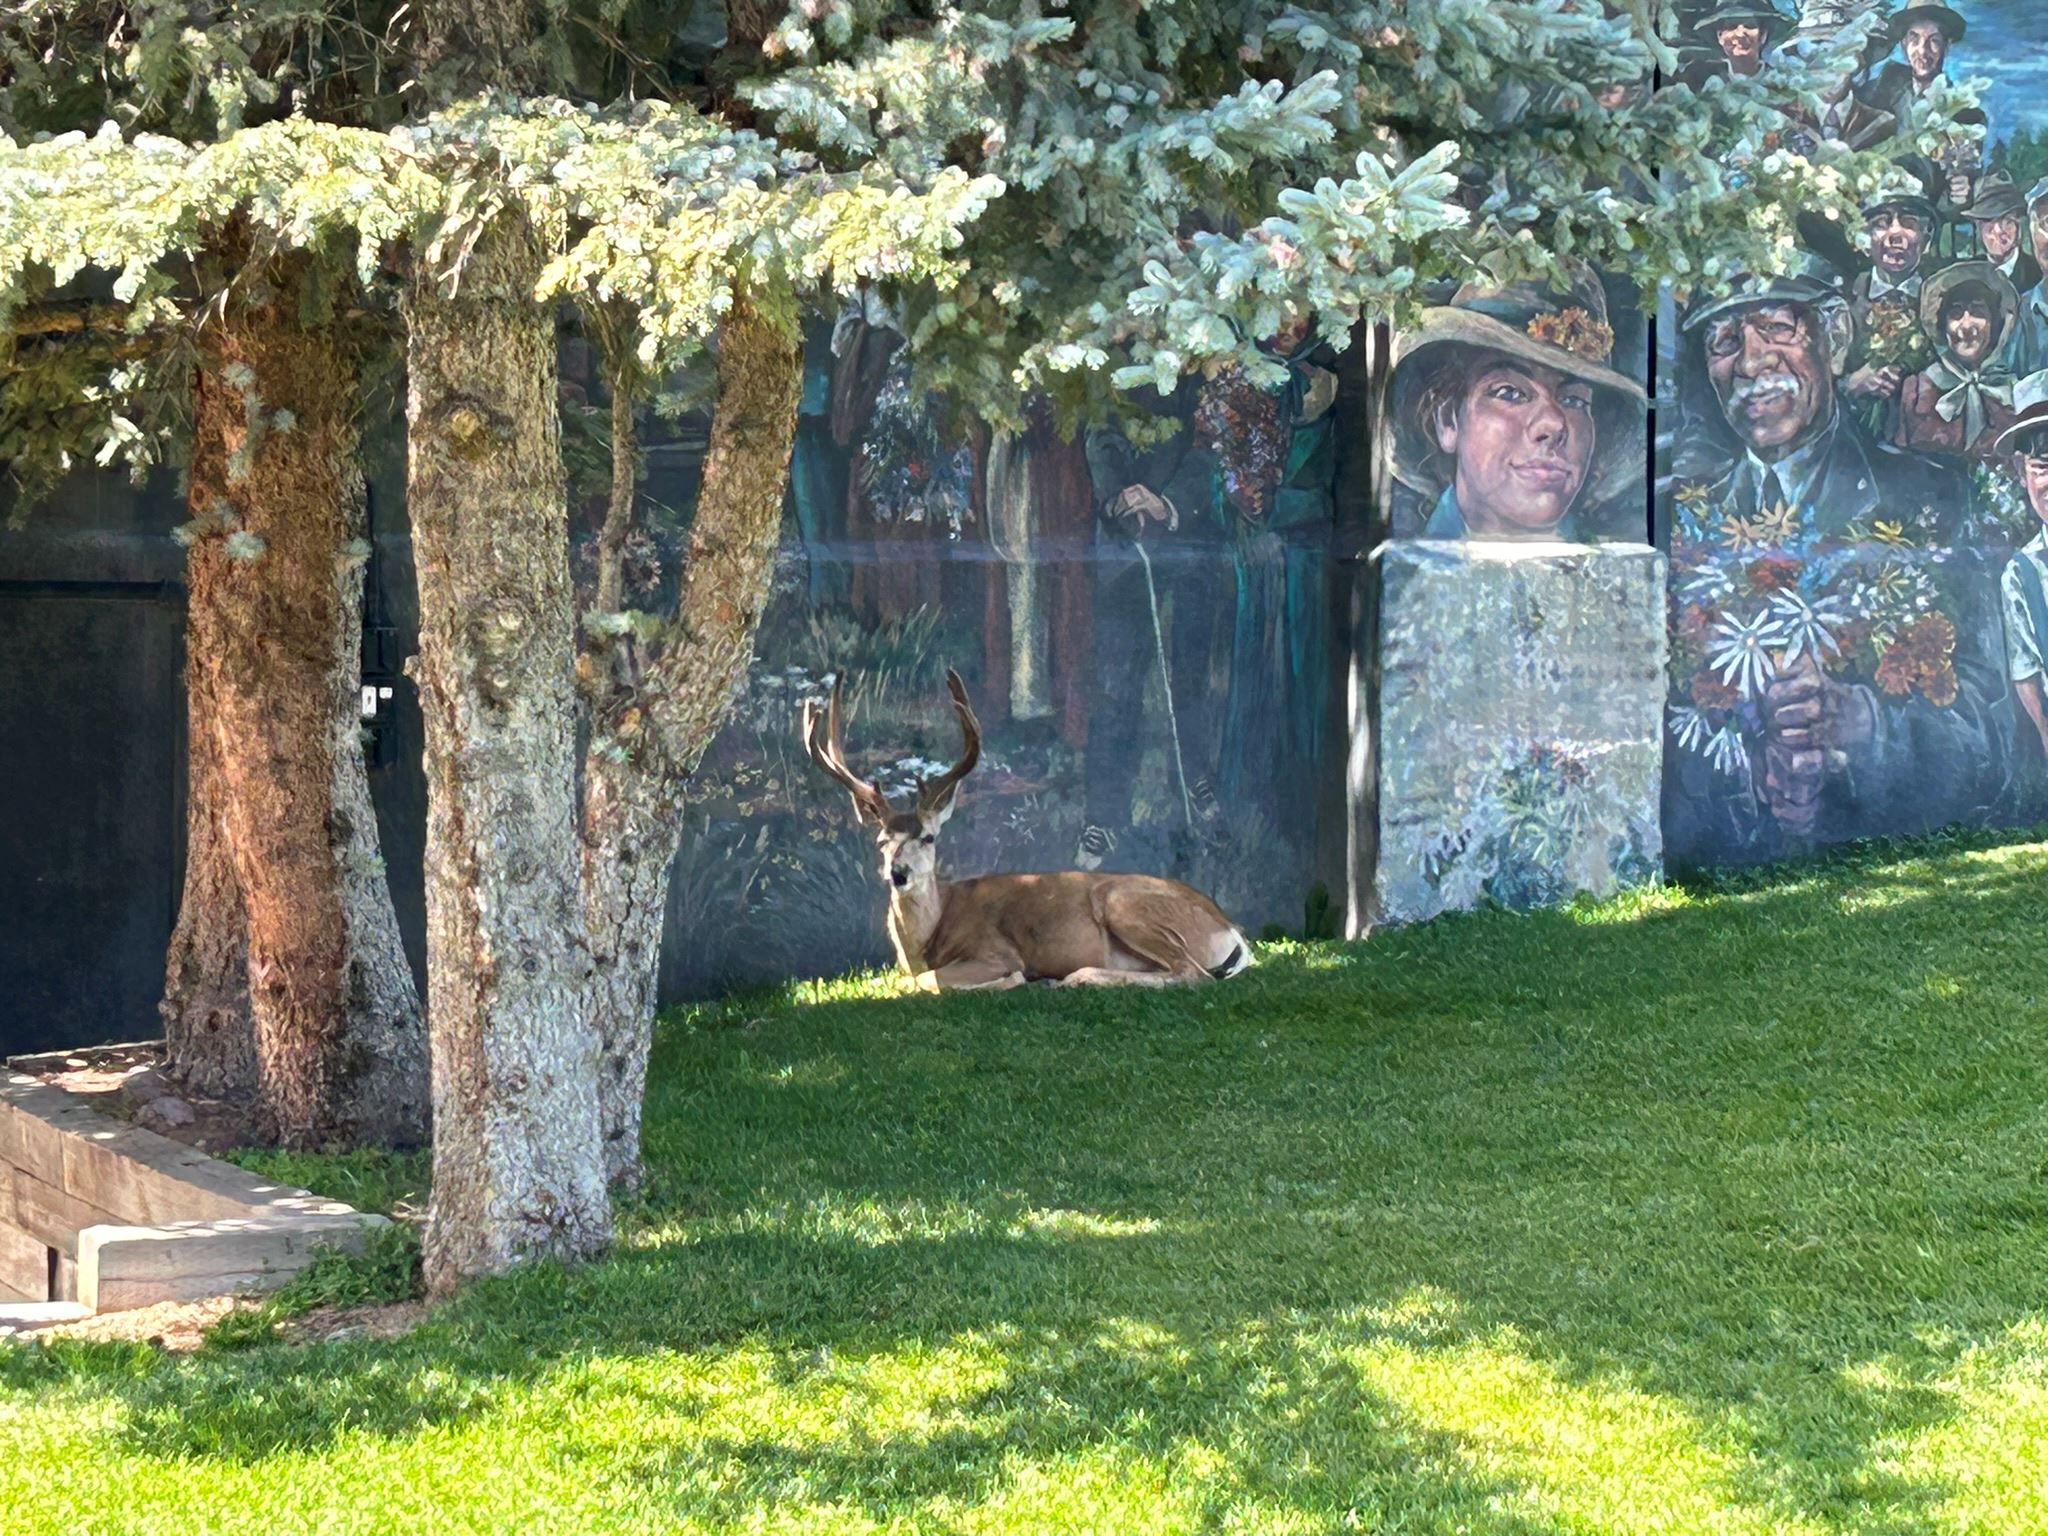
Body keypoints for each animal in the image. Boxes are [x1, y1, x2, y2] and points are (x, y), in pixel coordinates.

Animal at [800, 669, 1252, 990]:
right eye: (882, 841)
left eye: (928, 838)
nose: (898, 873)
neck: (928, 939)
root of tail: (1230, 931)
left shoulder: (995, 950)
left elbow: (921, 982)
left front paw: (1014, 981)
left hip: (1126, 903)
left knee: (1191, 972)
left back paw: (1076, 977)